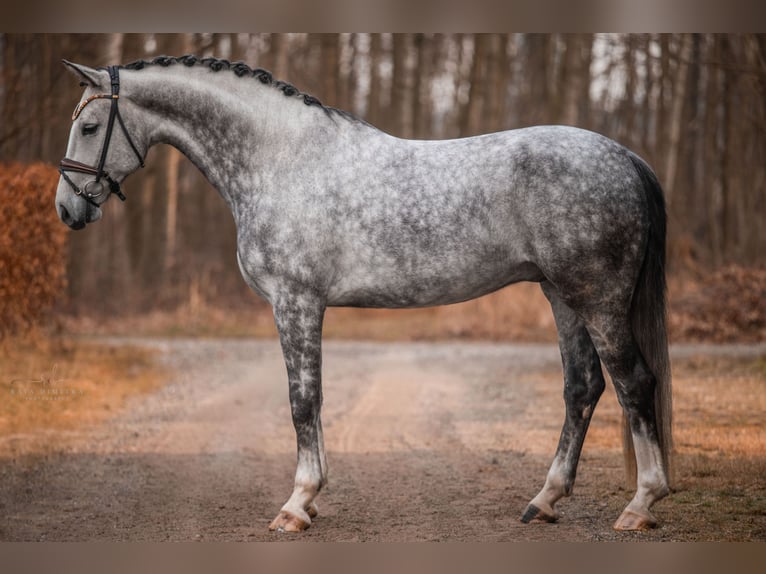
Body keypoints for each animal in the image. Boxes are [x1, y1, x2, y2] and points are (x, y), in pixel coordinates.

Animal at [55, 56, 672, 532]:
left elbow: (303, 401)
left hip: (597, 300)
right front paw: (309, 501)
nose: (68, 209)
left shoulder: (296, 302)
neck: (280, 160)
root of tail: (625, 157)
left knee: (634, 383)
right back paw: (544, 501)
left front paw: (297, 505)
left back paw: (641, 505)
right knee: (583, 388)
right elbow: (311, 400)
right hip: (562, 296)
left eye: (89, 127)